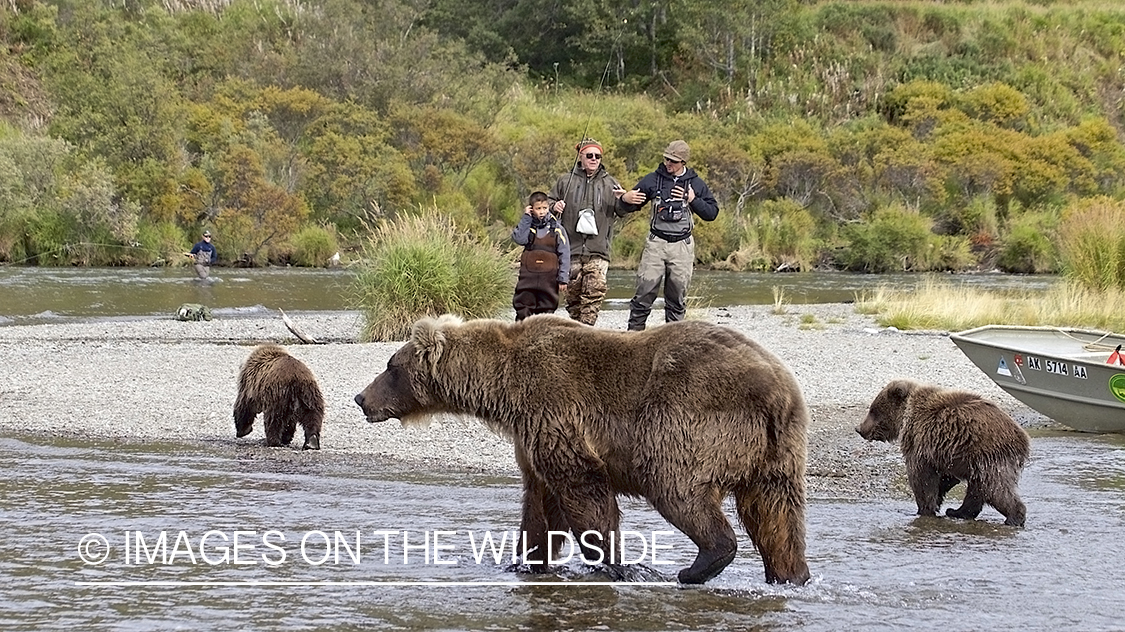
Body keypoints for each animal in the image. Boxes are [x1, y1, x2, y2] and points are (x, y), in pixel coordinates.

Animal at [351, 312, 810, 584]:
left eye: (390, 366)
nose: (360, 398)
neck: (503, 389)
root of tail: (776, 389)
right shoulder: (531, 433)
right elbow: (540, 505)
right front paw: (525, 560)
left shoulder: (554, 408)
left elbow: (584, 489)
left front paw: (612, 562)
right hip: (778, 448)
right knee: (775, 513)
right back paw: (791, 575)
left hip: (689, 417)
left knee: (677, 486)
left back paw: (697, 566)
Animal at [855, 375, 1030, 524]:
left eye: (873, 410)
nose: (859, 428)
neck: (906, 417)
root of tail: (1023, 438)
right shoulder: (942, 451)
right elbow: (945, 477)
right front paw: (938, 499)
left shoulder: (920, 440)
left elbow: (921, 478)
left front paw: (924, 509)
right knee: (977, 489)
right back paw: (957, 511)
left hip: (989, 455)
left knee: (994, 488)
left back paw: (1014, 518)